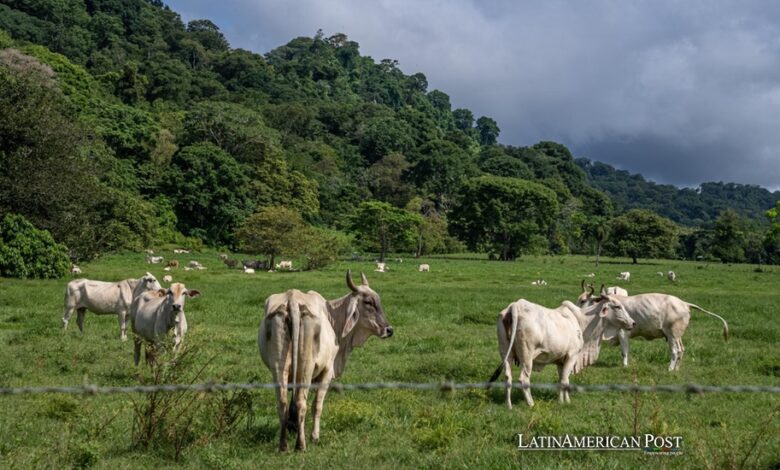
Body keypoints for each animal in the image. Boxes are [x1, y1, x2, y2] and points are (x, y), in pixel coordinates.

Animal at [258, 272, 394, 452]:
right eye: (368, 302)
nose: (389, 330)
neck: (331, 316)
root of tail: (292, 299)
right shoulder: (327, 371)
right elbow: (317, 405)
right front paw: (315, 436)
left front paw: (293, 426)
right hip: (307, 367)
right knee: (302, 403)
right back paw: (301, 445)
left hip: (279, 368)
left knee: (283, 403)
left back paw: (284, 445)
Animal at [494, 294, 632, 408]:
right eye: (618, 306)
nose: (633, 323)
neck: (580, 321)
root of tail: (515, 306)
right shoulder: (572, 355)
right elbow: (565, 381)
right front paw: (566, 402)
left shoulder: (560, 361)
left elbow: (562, 380)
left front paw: (563, 401)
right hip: (527, 357)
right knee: (524, 379)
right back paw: (531, 404)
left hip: (505, 353)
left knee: (508, 377)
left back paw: (508, 405)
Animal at [576, 284, 728, 370]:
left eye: (583, 301)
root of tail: (684, 303)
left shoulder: (623, 333)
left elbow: (624, 352)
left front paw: (625, 366)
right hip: (677, 336)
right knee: (682, 350)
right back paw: (677, 369)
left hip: (672, 336)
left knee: (675, 351)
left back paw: (670, 369)